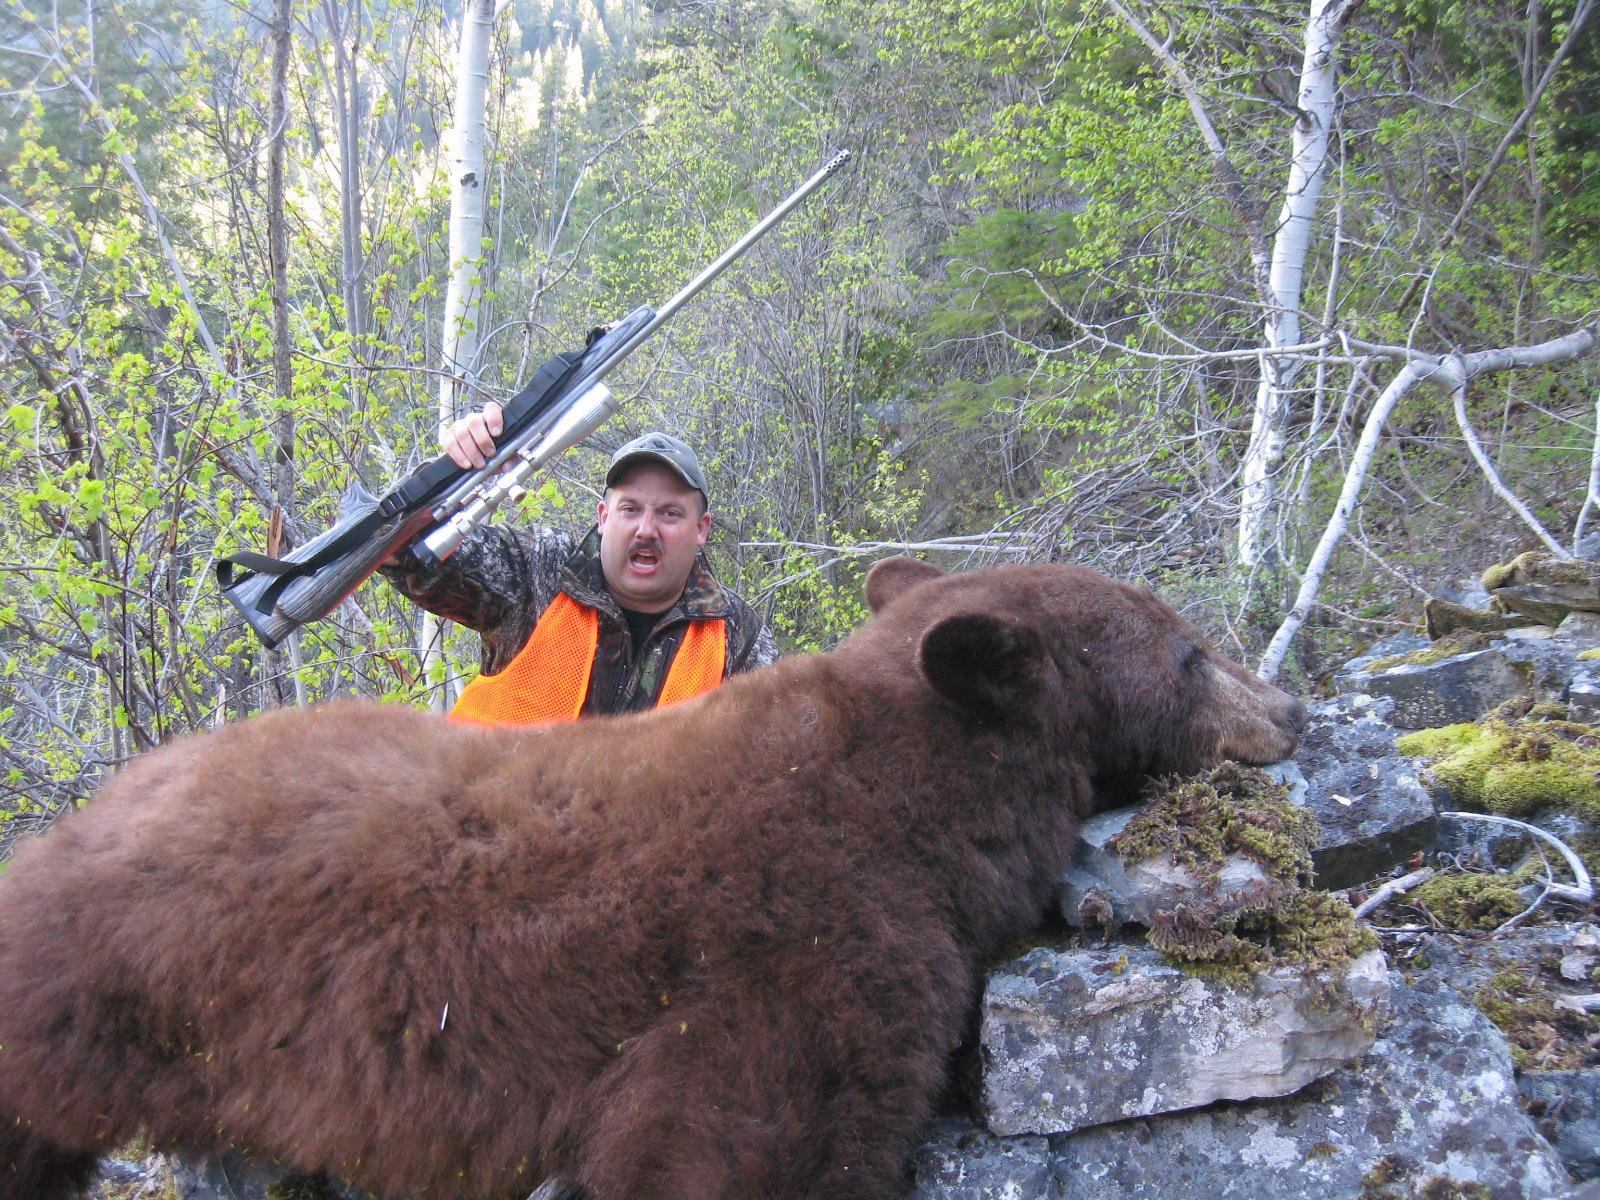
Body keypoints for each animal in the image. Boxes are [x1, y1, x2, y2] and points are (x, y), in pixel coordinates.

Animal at [0, 558, 1305, 1200]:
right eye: (1190, 653)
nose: (1289, 707)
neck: (905, 785)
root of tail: (57, 839)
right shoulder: (805, 939)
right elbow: (732, 1149)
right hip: (82, 1014)